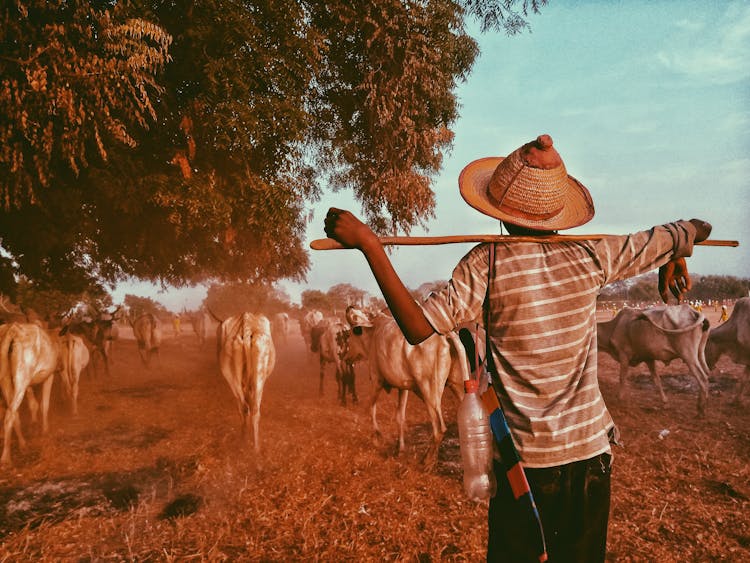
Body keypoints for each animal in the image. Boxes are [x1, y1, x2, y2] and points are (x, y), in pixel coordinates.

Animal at [0, 322, 59, 468]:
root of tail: (12, 329)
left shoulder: (29, 385)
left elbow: (34, 404)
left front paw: (34, 423)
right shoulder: (49, 375)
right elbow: (44, 405)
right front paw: (45, 430)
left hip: (6, 380)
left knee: (13, 412)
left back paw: (22, 444)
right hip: (21, 377)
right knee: (9, 414)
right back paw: (6, 458)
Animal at [344, 306, 468, 470]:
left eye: (350, 335)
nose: (345, 358)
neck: (373, 333)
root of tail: (446, 334)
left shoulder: (376, 380)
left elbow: (371, 408)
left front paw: (377, 437)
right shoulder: (403, 388)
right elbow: (400, 416)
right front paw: (400, 448)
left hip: (429, 390)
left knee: (439, 428)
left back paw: (427, 461)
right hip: (457, 385)